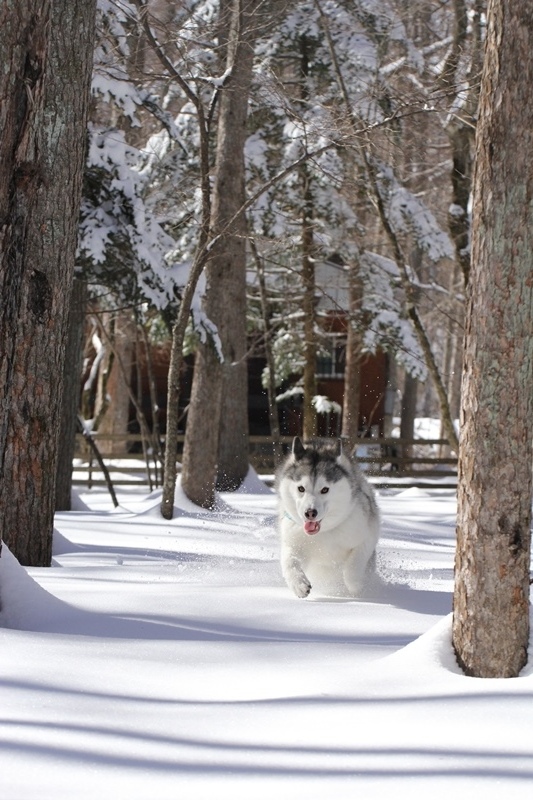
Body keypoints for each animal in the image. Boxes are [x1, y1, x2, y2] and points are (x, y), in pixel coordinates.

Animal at [276, 434, 380, 596]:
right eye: (301, 488)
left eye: (325, 489)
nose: (310, 513)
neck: (324, 531)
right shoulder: (293, 539)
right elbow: (289, 562)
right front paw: (299, 584)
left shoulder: (367, 535)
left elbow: (354, 565)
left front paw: (356, 586)